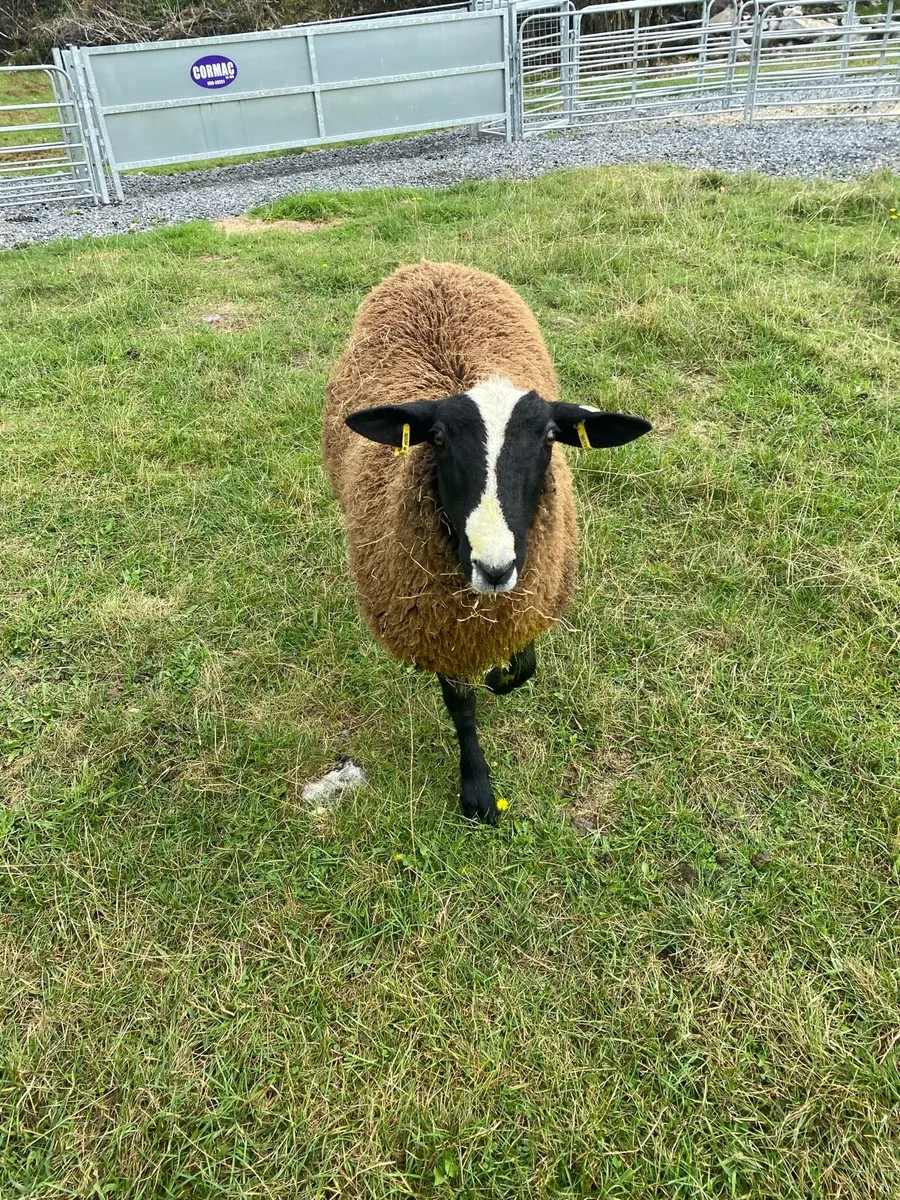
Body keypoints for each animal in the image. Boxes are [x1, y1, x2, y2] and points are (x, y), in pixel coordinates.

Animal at [322, 261, 651, 824]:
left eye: (549, 438)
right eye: (437, 438)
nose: (494, 568)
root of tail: (432, 265)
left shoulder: (531, 594)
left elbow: (523, 667)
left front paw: (503, 676)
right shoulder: (438, 627)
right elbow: (462, 707)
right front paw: (476, 788)